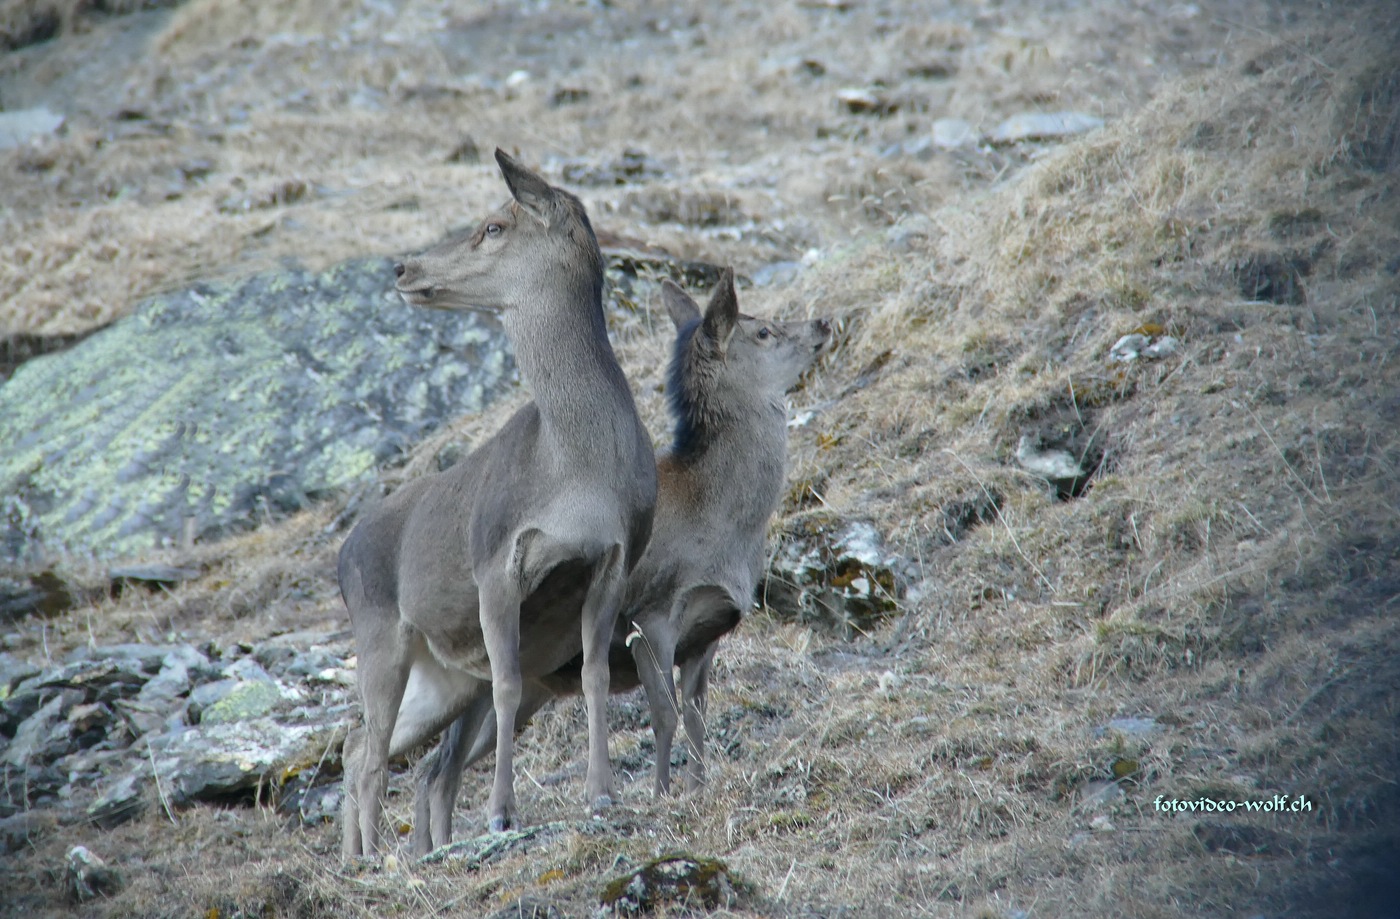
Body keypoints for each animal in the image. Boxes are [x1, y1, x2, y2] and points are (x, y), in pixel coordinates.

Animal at [334, 147, 655, 857]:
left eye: (494, 227)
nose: (403, 267)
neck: (577, 474)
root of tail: (340, 552)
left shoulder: (614, 561)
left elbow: (595, 676)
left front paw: (601, 794)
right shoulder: (495, 564)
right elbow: (508, 684)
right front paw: (503, 813)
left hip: (444, 677)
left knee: (367, 748)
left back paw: (376, 854)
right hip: (379, 630)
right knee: (369, 750)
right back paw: (369, 859)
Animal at [411, 270, 828, 851]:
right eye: (763, 330)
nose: (823, 322)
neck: (721, 525)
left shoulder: (708, 631)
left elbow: (697, 716)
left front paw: (696, 787)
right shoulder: (652, 614)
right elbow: (664, 714)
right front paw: (662, 793)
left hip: (529, 688)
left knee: (435, 770)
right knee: (438, 765)